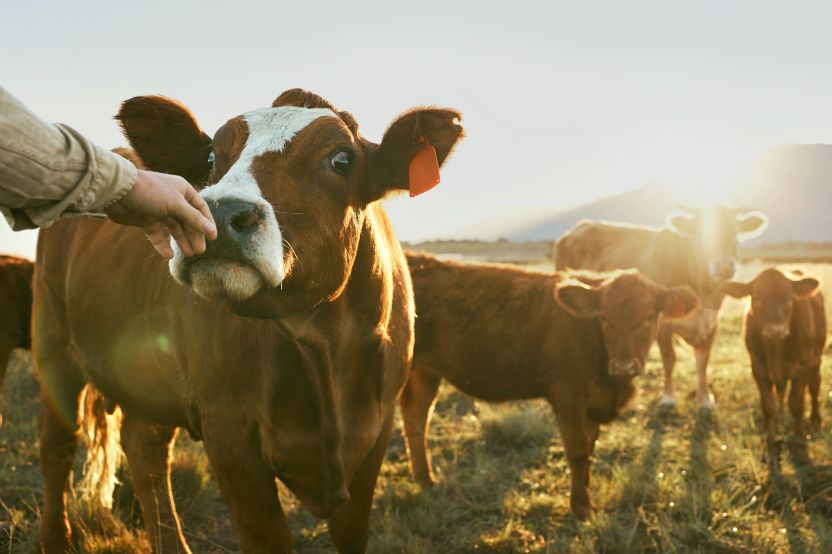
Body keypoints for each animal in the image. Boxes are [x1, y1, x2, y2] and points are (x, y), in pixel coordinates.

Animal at [32, 89, 463, 553]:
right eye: (210, 158)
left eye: (342, 160)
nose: (219, 213)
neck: (326, 354)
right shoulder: (230, 433)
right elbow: (266, 536)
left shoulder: (375, 435)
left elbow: (352, 532)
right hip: (52, 342)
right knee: (57, 446)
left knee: (145, 450)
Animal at [401, 253, 698, 518]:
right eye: (603, 318)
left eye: (649, 317)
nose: (624, 366)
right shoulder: (568, 396)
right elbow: (577, 451)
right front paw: (580, 507)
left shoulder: (593, 403)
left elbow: (590, 448)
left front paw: (585, 495)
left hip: (425, 372)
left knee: (416, 420)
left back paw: (426, 480)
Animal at [555, 206, 768, 409]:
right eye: (700, 233)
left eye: (735, 233)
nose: (724, 266)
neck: (702, 290)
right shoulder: (663, 323)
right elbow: (669, 360)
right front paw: (668, 398)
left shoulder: (712, 324)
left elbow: (703, 362)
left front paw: (704, 399)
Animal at [723, 268, 826, 475]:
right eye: (757, 297)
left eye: (789, 298)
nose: (776, 330)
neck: (775, 348)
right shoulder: (757, 368)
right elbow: (769, 406)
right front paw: (769, 450)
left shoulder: (802, 365)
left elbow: (797, 403)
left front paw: (800, 444)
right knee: (780, 392)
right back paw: (779, 422)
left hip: (817, 358)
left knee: (814, 388)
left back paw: (815, 420)